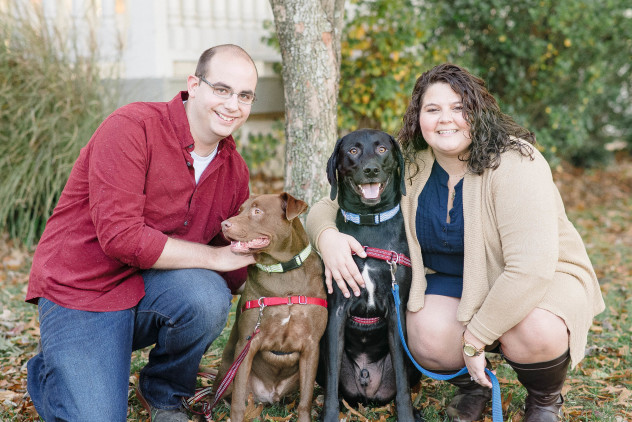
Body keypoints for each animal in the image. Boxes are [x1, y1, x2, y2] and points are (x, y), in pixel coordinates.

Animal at [215, 192, 328, 422]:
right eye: (240, 210)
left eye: (257, 211)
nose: (224, 224)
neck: (282, 271)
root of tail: (268, 396)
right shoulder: (247, 344)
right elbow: (238, 402)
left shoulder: (311, 346)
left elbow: (305, 401)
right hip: (228, 375)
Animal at [318, 129, 422, 422]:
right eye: (353, 151)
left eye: (382, 149)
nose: (371, 169)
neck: (369, 224)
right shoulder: (337, 311)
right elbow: (332, 383)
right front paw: (329, 416)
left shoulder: (396, 312)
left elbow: (401, 382)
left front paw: (407, 416)